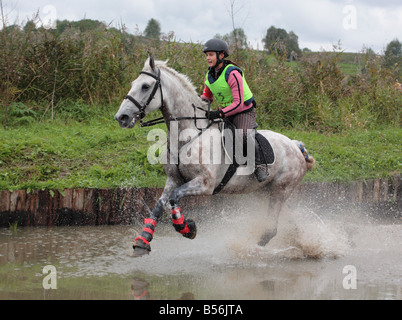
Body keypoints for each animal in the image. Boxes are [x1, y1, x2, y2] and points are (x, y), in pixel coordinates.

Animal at [114, 57, 316, 258]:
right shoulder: (173, 179)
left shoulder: (205, 184)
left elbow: (174, 197)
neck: (188, 136)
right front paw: (142, 242)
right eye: (133, 84)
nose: (121, 117)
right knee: (287, 222)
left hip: (279, 191)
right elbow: (159, 205)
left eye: (145, 86)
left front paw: (187, 228)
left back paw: (251, 250)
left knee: (271, 229)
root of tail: (296, 146)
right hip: (265, 192)